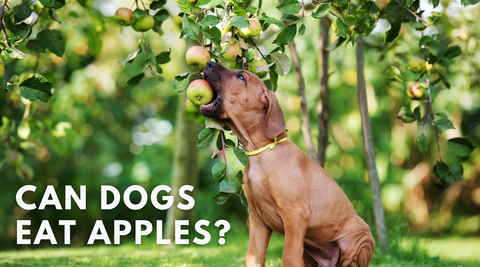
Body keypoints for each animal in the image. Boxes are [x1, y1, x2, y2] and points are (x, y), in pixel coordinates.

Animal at [201, 62, 374, 267]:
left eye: (241, 77)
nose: (209, 63)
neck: (262, 152)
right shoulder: (257, 218)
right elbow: (253, 256)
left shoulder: (295, 213)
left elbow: (289, 255)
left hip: (356, 232)